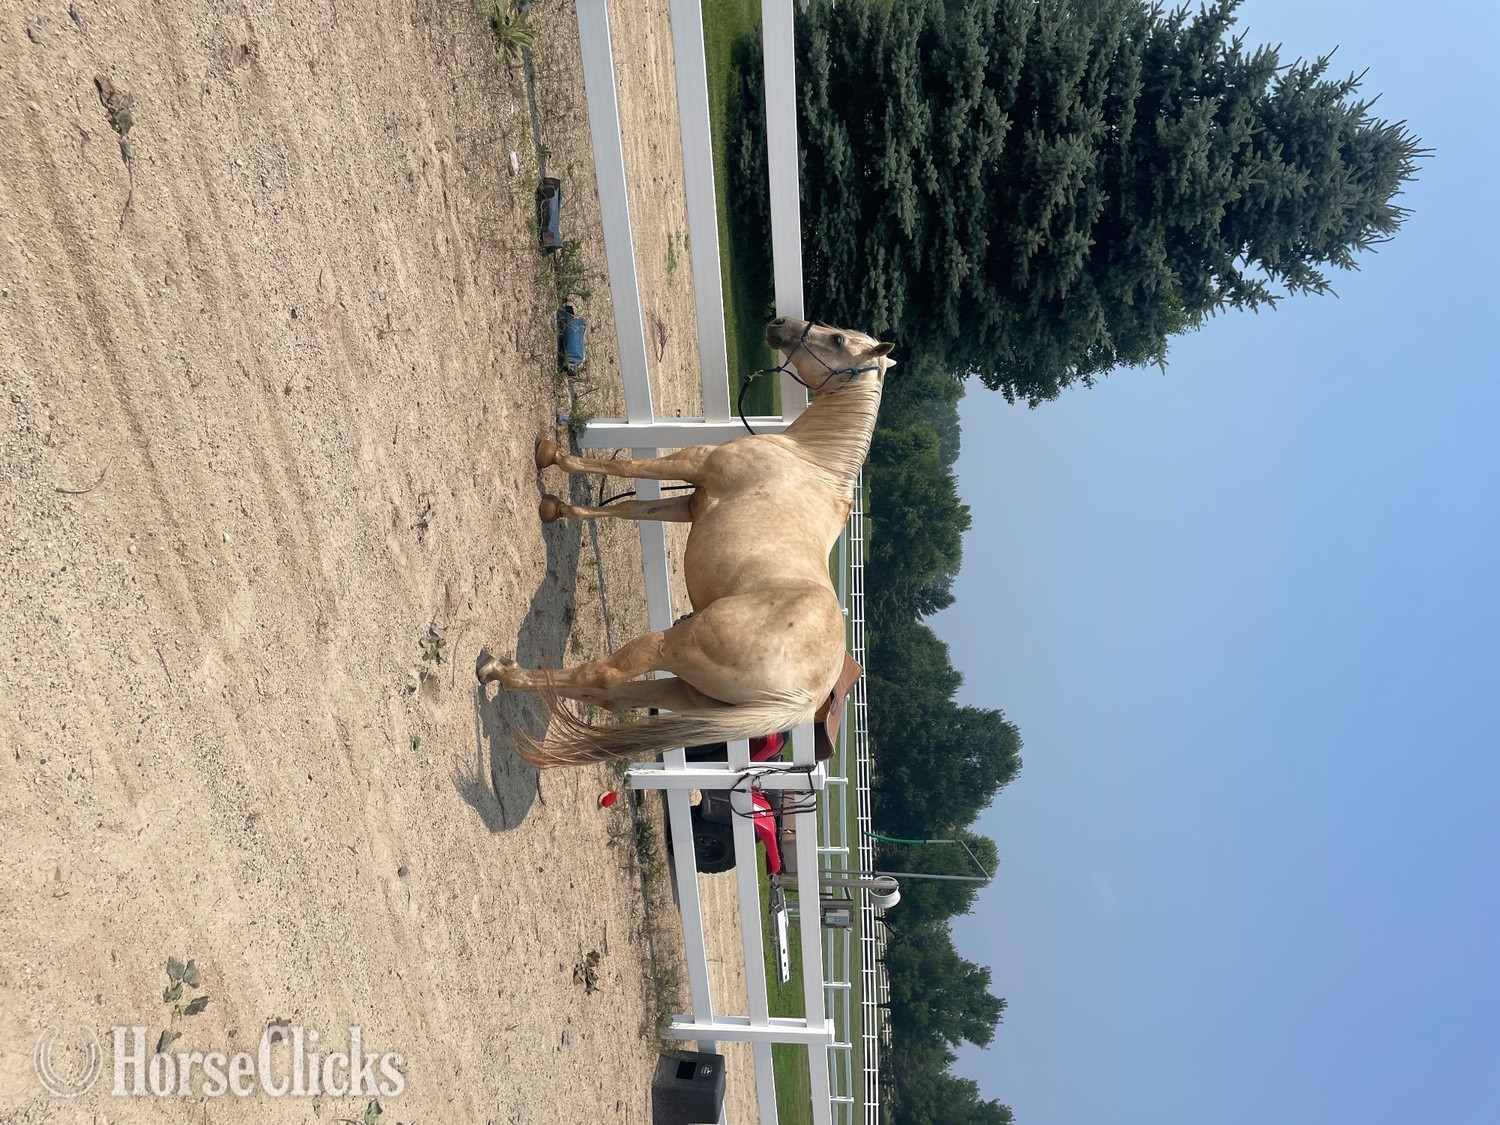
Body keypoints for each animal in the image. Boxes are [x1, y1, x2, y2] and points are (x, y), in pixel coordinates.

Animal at [477, 317, 894, 767]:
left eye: (836, 339)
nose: (780, 324)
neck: (810, 457)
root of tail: (801, 702)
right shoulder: (690, 505)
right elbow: (630, 508)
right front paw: (557, 508)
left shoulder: (693, 462)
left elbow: (626, 466)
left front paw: (553, 455)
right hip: (690, 694)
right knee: (610, 696)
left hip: (671, 647)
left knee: (602, 675)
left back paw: (500, 671)